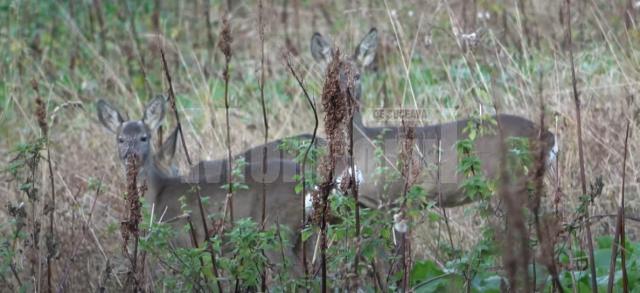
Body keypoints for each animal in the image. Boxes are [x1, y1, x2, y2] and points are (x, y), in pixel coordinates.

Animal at [95, 96, 310, 274]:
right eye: (120, 139)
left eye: (144, 137)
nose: (131, 155)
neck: (158, 194)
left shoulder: (185, 239)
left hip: (277, 229)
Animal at [308, 27, 556, 209]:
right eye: (328, 76)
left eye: (358, 75)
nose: (341, 99)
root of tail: (549, 136)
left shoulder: (390, 196)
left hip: (513, 182)